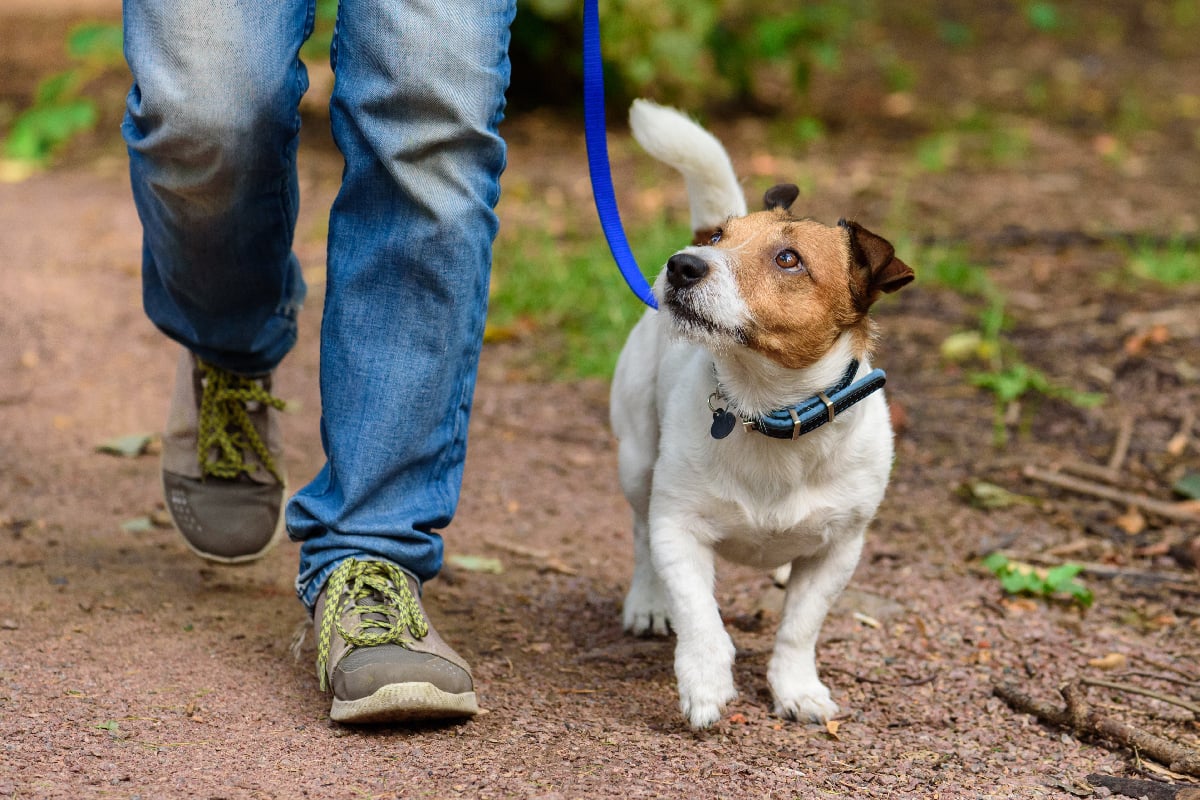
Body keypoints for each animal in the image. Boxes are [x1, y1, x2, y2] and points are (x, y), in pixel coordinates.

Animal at [614, 97, 912, 729]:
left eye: (788, 259)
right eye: (720, 237)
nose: (682, 263)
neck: (766, 410)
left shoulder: (838, 551)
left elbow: (800, 627)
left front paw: (796, 688)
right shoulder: (678, 528)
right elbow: (700, 614)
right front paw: (705, 682)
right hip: (636, 458)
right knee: (639, 533)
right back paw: (648, 601)